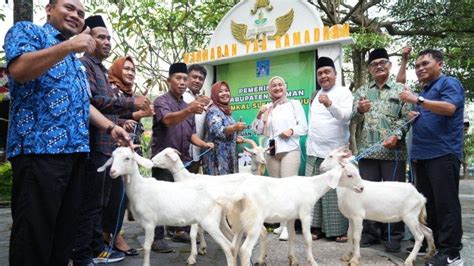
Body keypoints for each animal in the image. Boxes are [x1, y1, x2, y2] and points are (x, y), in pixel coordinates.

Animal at [98, 148, 243, 266]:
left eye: (127, 158)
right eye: (112, 157)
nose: (112, 172)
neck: (139, 188)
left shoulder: (150, 223)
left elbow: (147, 247)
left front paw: (192, 257)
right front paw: (201, 249)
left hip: (210, 222)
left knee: (228, 246)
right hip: (219, 219)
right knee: (232, 241)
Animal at [235, 161, 364, 264]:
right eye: (349, 175)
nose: (361, 188)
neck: (313, 186)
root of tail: (242, 194)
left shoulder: (291, 217)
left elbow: (292, 236)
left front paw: (292, 259)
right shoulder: (305, 214)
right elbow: (308, 238)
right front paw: (312, 261)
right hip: (254, 222)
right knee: (245, 250)